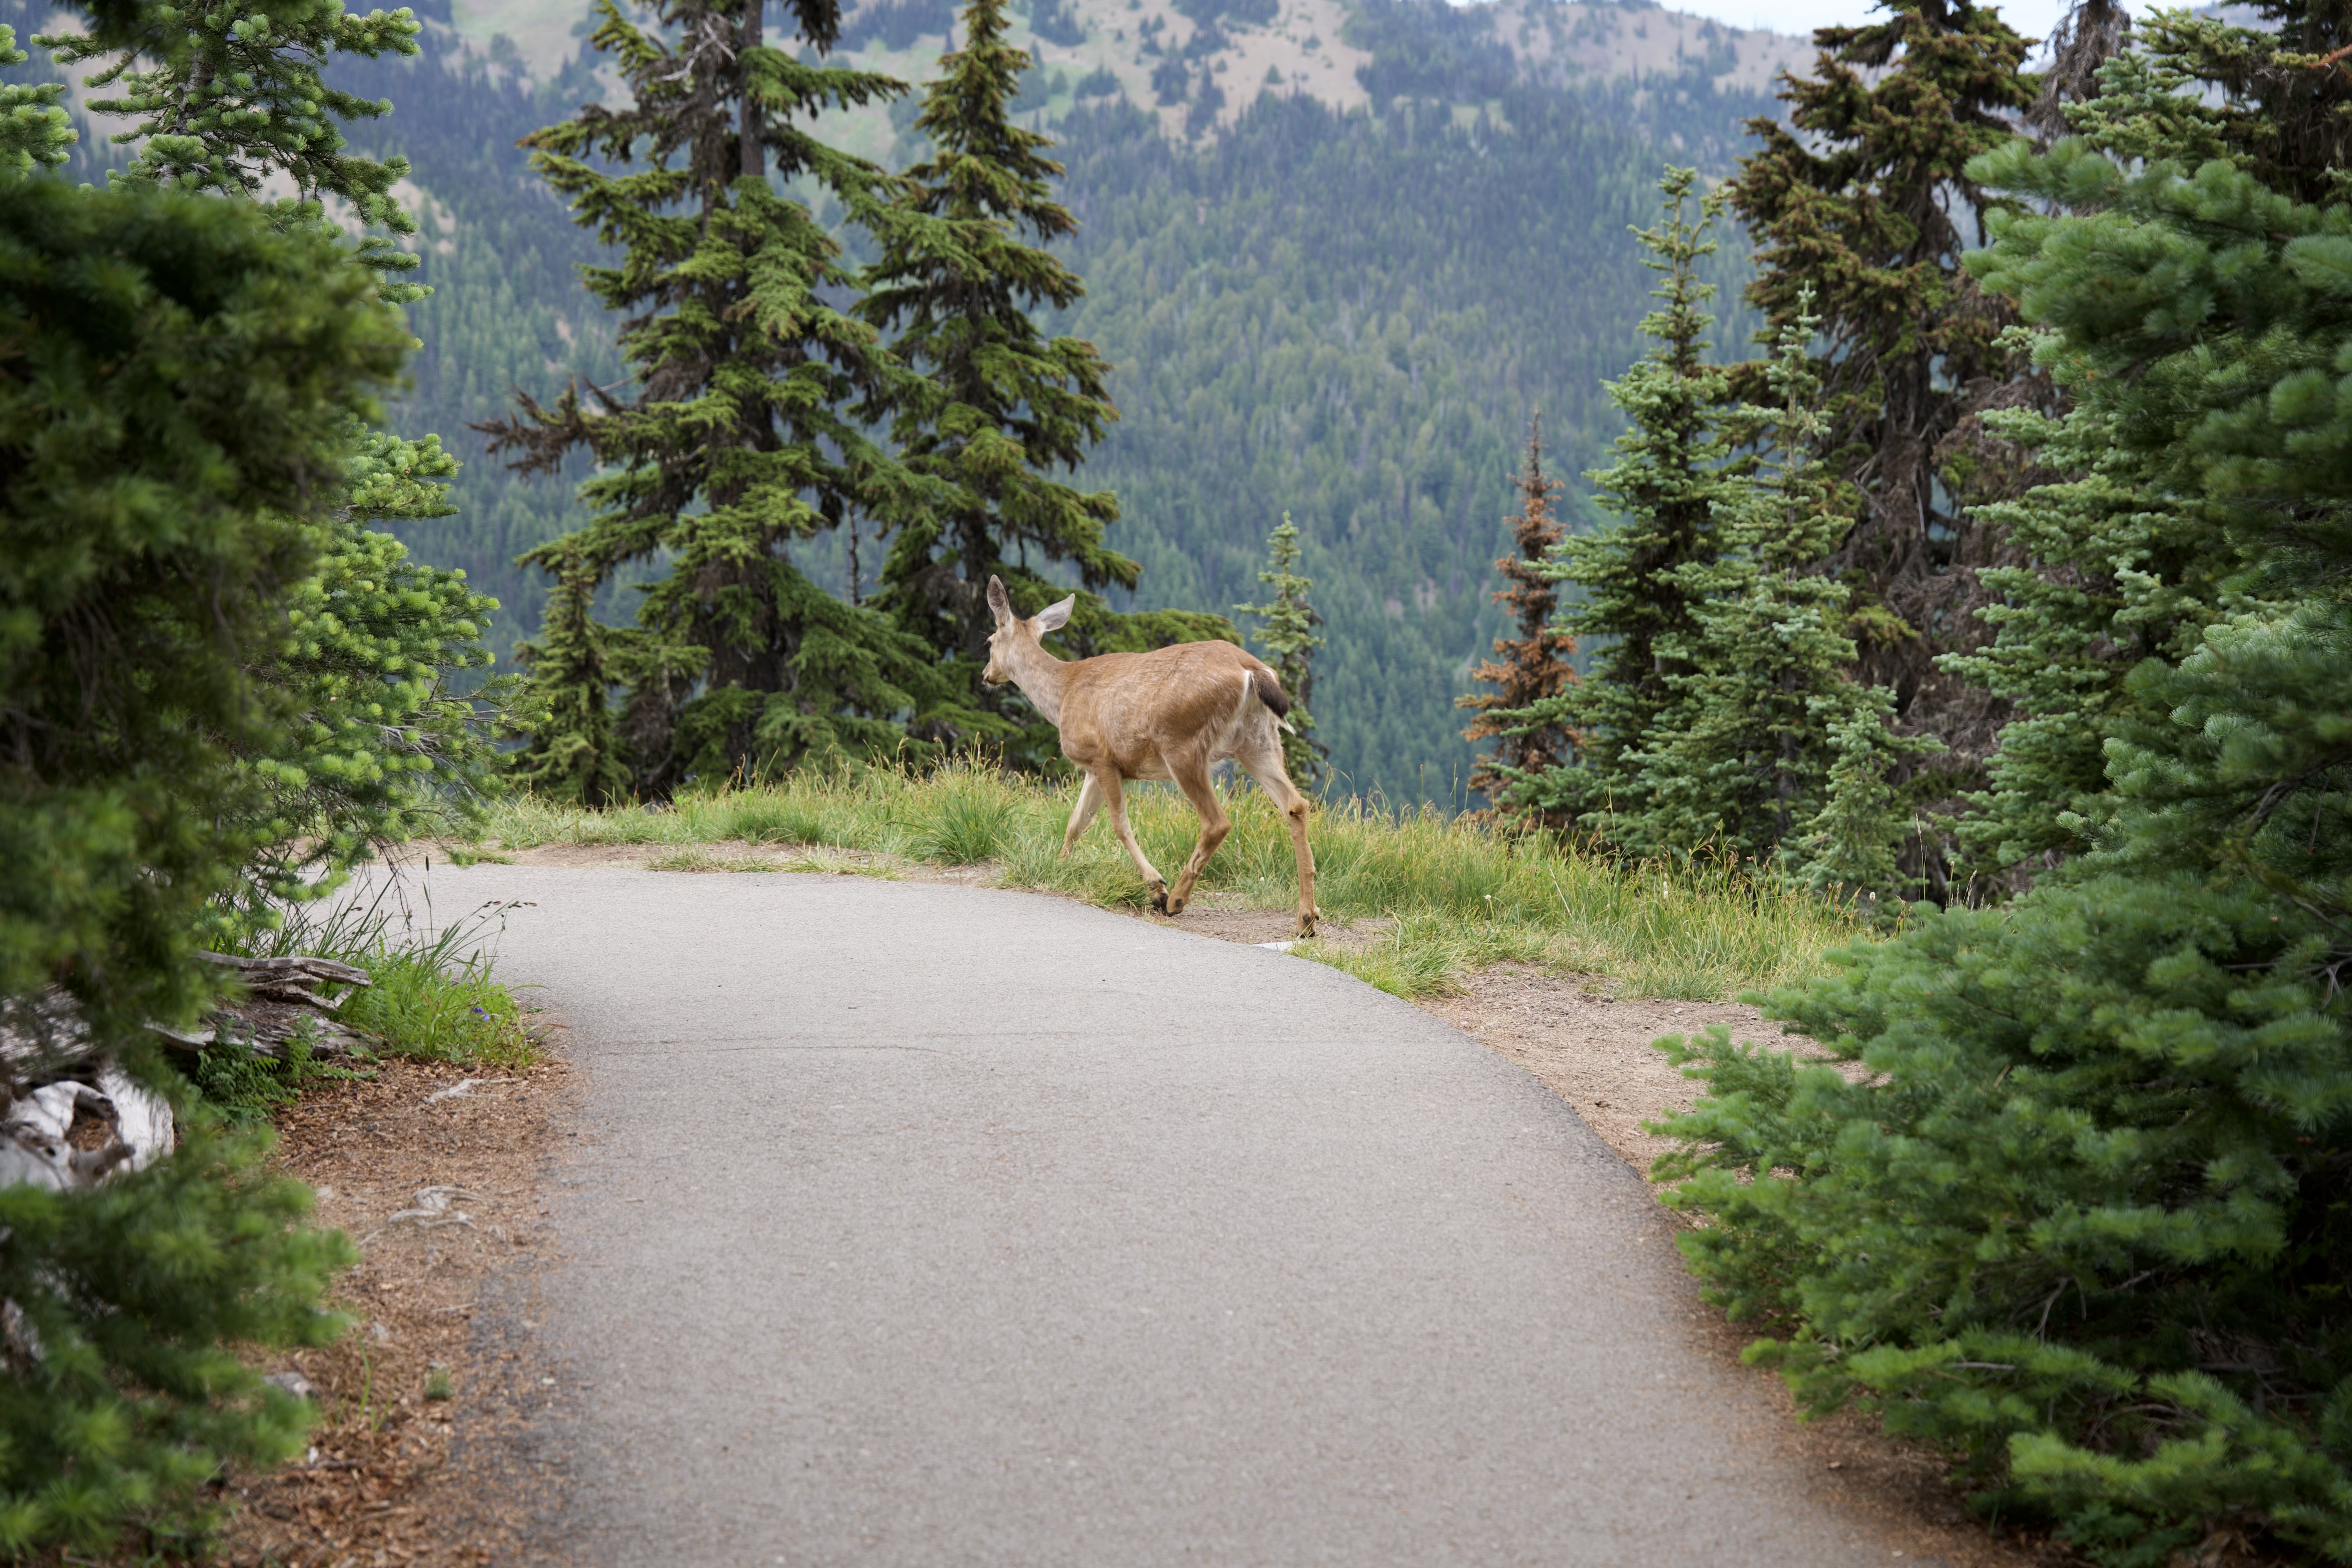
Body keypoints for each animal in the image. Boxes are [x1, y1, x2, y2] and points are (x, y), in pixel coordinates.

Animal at [981, 575, 1320, 939]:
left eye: (989, 641)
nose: (986, 675)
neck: (1062, 695)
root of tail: (1253, 671)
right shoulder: (1094, 768)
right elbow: (1077, 823)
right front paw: (1059, 865)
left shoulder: (1103, 758)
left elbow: (1118, 824)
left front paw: (1156, 886)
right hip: (1258, 742)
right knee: (1295, 805)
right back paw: (1306, 918)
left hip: (1183, 743)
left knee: (1217, 821)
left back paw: (1177, 900)